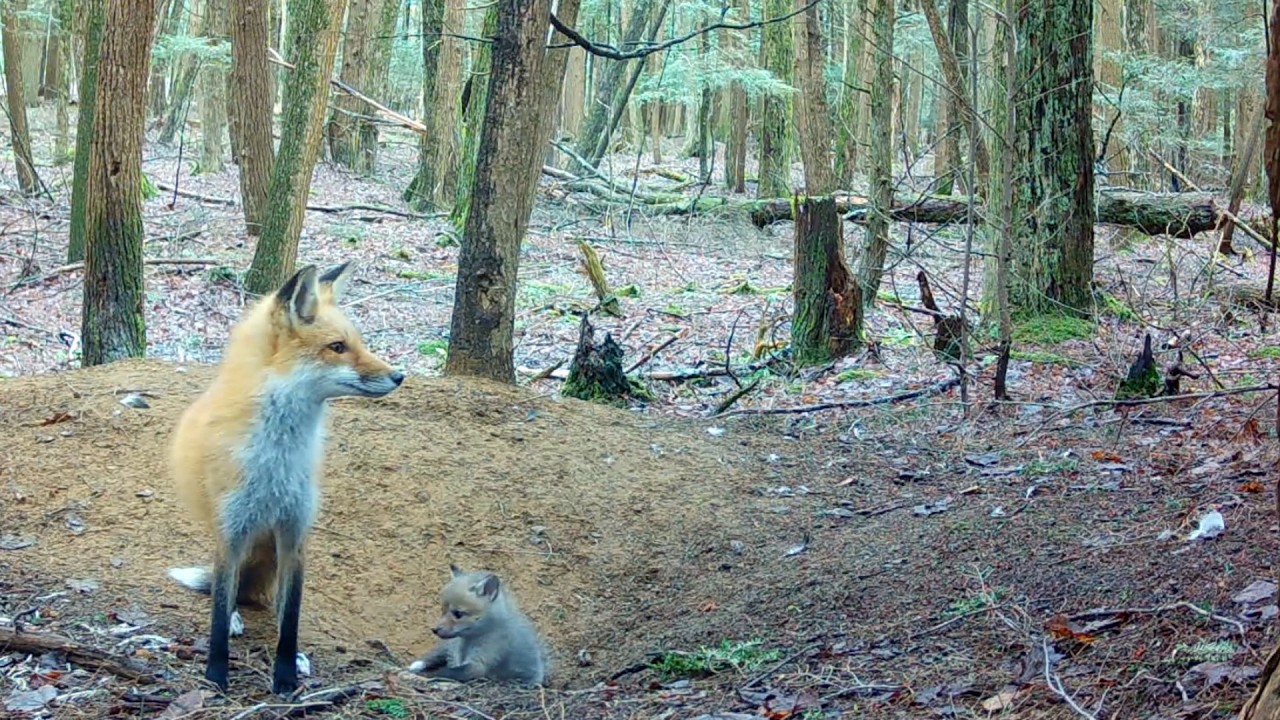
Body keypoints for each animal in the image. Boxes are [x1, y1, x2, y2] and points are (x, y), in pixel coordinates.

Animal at [165, 261, 405, 696]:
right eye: (338, 347)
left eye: (359, 343)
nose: (399, 376)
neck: (276, 462)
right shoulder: (232, 529)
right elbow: (219, 611)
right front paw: (216, 675)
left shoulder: (295, 531)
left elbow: (291, 617)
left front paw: (286, 675)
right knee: (229, 591)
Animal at [408, 565, 548, 686]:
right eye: (443, 610)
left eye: (458, 614)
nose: (434, 629)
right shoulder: (457, 652)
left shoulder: (478, 664)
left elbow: (445, 671)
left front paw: (425, 675)